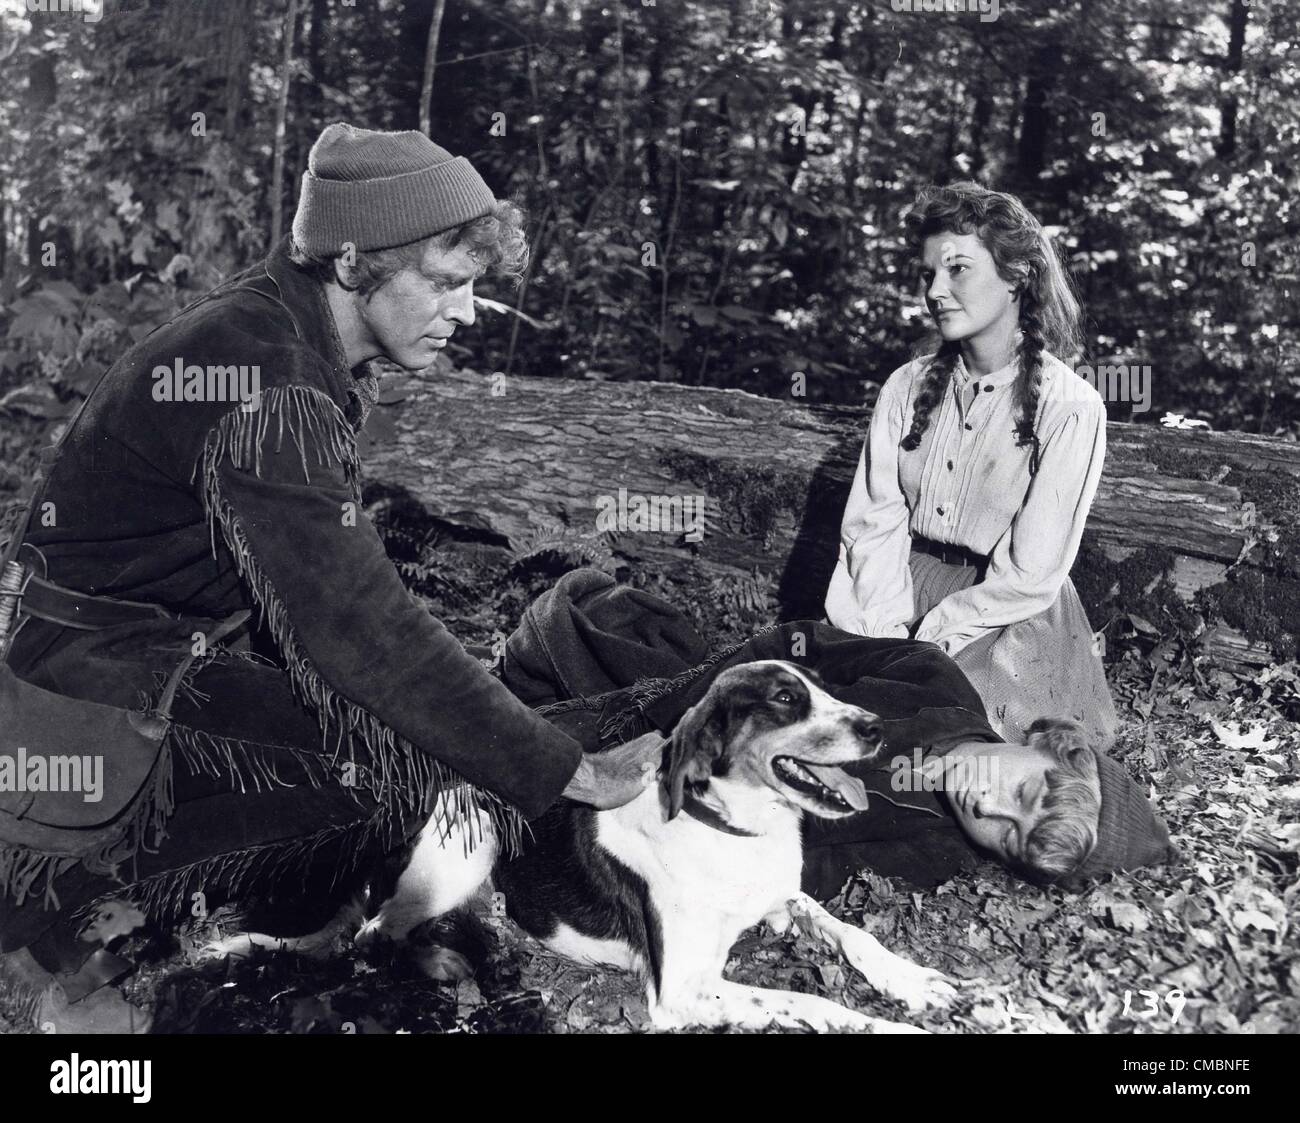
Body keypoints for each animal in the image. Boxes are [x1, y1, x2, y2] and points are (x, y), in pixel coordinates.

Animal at [220, 657, 956, 1034]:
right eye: (784, 698)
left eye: (825, 686)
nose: (878, 726)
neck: (735, 828)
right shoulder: (682, 990)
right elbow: (813, 1002)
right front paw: (895, 1026)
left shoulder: (783, 899)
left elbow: (851, 932)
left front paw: (917, 983)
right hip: (468, 844)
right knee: (374, 936)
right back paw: (443, 963)